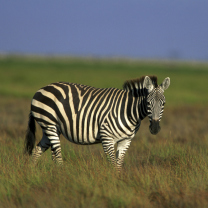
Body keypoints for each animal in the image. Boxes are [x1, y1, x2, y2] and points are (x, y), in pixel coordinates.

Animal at [25, 75, 170, 171]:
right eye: (148, 103)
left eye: (163, 103)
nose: (155, 128)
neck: (129, 111)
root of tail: (41, 89)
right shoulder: (107, 137)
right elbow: (112, 164)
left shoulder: (126, 140)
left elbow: (118, 166)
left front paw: (119, 185)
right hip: (49, 124)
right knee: (58, 157)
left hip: (51, 128)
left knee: (38, 151)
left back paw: (32, 174)